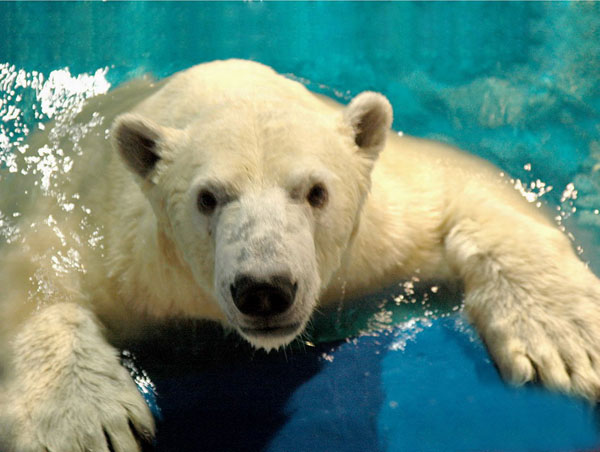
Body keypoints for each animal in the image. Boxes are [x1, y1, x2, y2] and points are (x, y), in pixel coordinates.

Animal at [1, 61, 600, 452]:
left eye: (316, 192)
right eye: (207, 198)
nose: (264, 288)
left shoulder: (384, 234)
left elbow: (469, 188)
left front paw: (567, 340)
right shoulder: (115, 245)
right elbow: (32, 272)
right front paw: (81, 423)